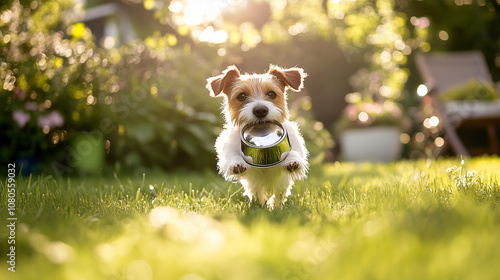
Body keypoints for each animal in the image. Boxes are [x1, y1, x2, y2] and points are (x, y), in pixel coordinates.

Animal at [206, 64, 308, 209]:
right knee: (257, 194)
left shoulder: (294, 142)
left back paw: (275, 207)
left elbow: (294, 152)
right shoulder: (230, 146)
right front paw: (236, 163)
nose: (260, 110)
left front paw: (292, 161)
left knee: (278, 195)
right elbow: (232, 155)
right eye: (242, 96)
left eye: (271, 94)